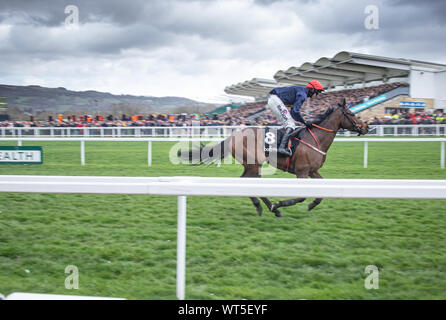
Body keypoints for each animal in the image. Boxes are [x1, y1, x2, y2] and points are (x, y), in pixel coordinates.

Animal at [179, 99, 368, 216]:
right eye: (352, 113)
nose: (366, 127)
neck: (316, 138)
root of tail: (234, 135)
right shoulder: (302, 172)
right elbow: (301, 196)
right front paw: (280, 203)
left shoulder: (312, 171)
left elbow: (320, 193)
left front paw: (312, 204)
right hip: (254, 164)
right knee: (247, 182)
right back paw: (269, 207)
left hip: (253, 165)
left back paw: (269, 207)